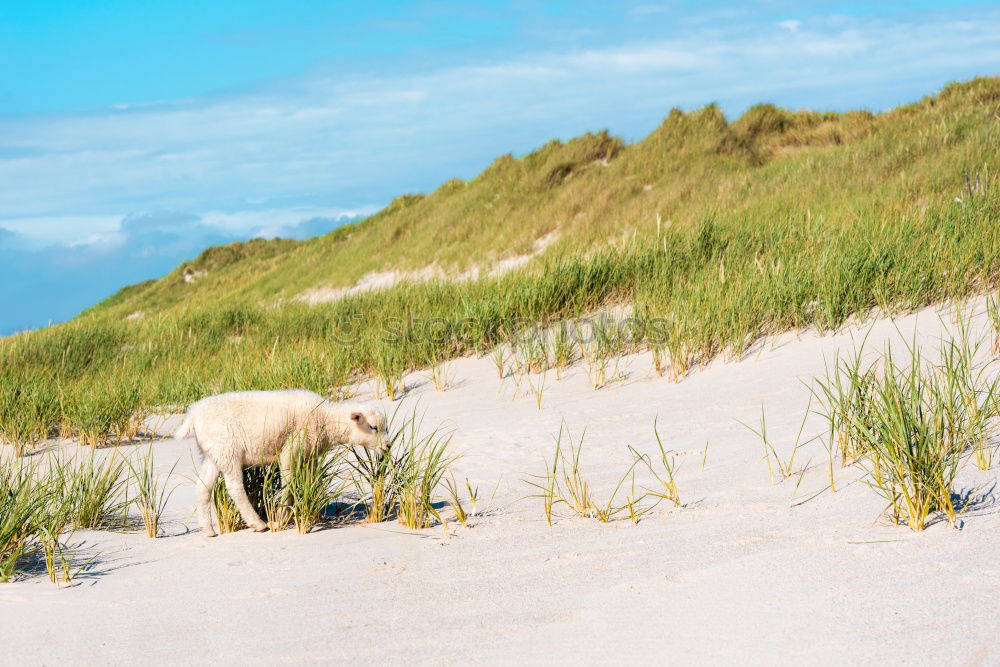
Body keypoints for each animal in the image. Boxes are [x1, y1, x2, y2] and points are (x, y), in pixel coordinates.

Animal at [176, 392, 386, 536]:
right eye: (373, 427)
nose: (388, 446)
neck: (325, 419)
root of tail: (194, 414)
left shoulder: (308, 455)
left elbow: (310, 483)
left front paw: (309, 510)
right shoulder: (292, 449)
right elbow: (289, 484)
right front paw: (282, 517)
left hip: (212, 454)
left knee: (203, 488)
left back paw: (208, 530)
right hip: (228, 449)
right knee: (235, 488)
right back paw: (258, 523)